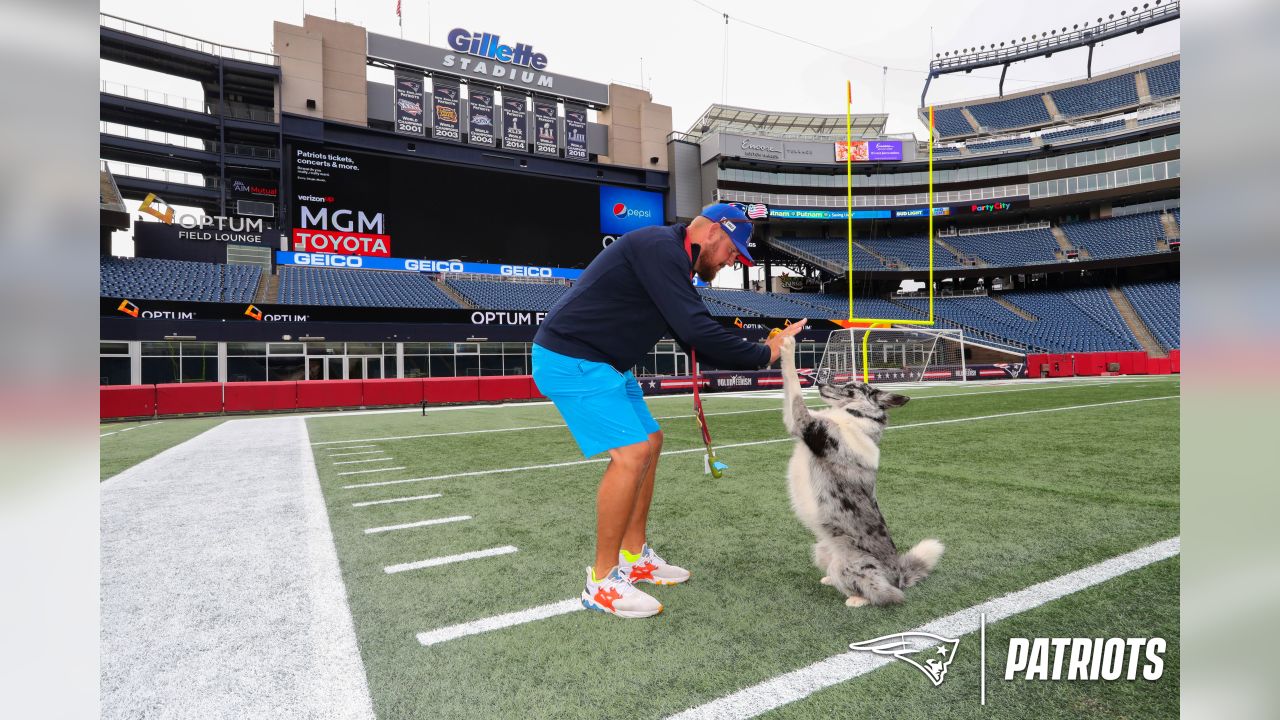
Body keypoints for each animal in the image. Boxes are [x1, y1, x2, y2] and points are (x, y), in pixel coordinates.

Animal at [773, 335, 947, 604]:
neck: (857, 416)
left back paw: (858, 599)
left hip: (852, 566)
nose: (820, 382)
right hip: (821, 547)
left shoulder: (805, 423)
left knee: (886, 594)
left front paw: (788, 345)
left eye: (850, 388)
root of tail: (900, 577)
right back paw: (829, 580)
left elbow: (793, 382)